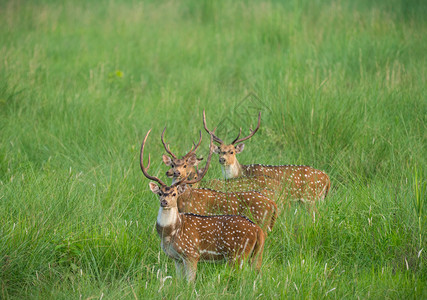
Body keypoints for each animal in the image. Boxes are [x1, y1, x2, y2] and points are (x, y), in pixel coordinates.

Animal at [140, 130, 266, 282]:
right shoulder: (176, 258)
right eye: (160, 193)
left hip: (238, 254)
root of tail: (258, 230)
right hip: (256, 255)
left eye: (174, 194)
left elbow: (190, 282)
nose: (164, 202)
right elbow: (179, 281)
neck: (170, 234)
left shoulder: (191, 253)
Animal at [203, 110, 332, 204]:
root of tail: (327, 178)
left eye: (232, 152)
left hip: (311, 197)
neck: (240, 172)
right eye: (220, 151)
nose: (222, 159)